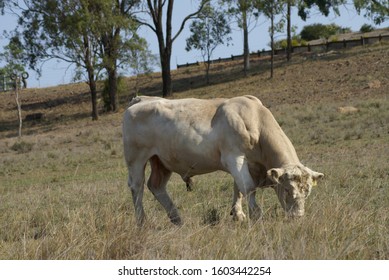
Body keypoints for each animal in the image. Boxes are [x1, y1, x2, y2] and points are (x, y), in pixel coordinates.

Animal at [123, 94, 322, 225]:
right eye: (287, 190)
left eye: (307, 192)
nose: (297, 217)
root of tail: (141, 99)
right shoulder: (233, 157)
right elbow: (248, 187)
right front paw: (256, 215)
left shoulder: (245, 164)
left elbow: (238, 188)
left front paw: (238, 214)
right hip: (136, 159)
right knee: (137, 187)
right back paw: (142, 221)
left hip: (161, 161)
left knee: (156, 186)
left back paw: (177, 218)